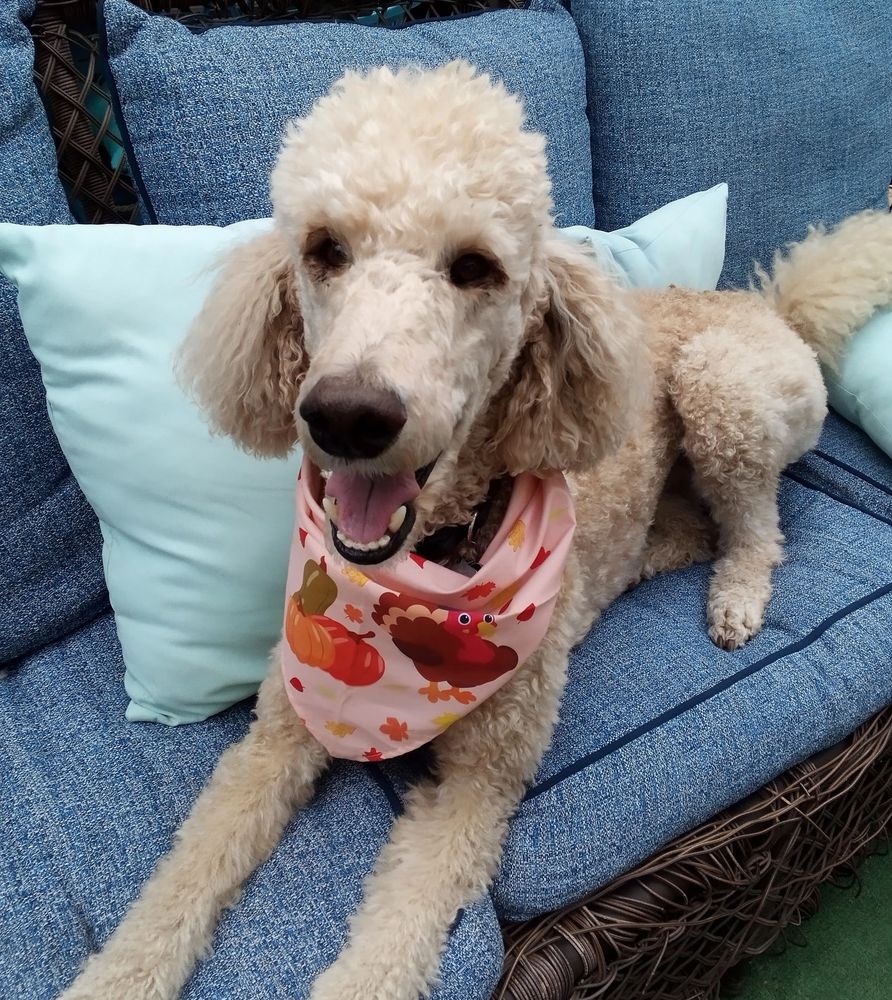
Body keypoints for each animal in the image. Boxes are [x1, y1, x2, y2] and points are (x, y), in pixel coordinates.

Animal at [60, 62, 892, 1000]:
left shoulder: (480, 786)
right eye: (324, 250)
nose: (347, 415)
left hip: (726, 392)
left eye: (475, 268)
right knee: (691, 527)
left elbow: (388, 952)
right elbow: (180, 877)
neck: (424, 570)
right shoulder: (277, 732)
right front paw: (114, 975)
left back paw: (737, 602)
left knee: (756, 526)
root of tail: (771, 305)